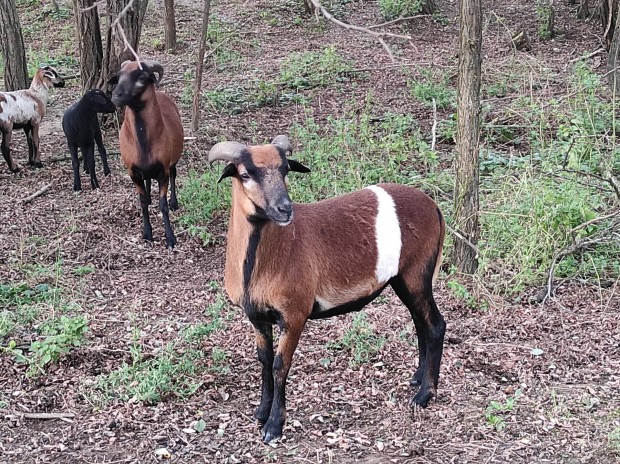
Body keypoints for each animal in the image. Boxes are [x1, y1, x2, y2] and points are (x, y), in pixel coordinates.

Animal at [208, 134, 446, 442]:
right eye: (245, 174)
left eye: (285, 170)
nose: (285, 208)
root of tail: (434, 207)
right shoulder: (257, 317)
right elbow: (263, 360)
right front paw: (260, 412)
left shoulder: (294, 315)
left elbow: (279, 365)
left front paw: (274, 426)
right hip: (403, 279)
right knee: (420, 323)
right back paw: (417, 378)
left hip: (417, 273)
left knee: (435, 325)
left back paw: (425, 394)